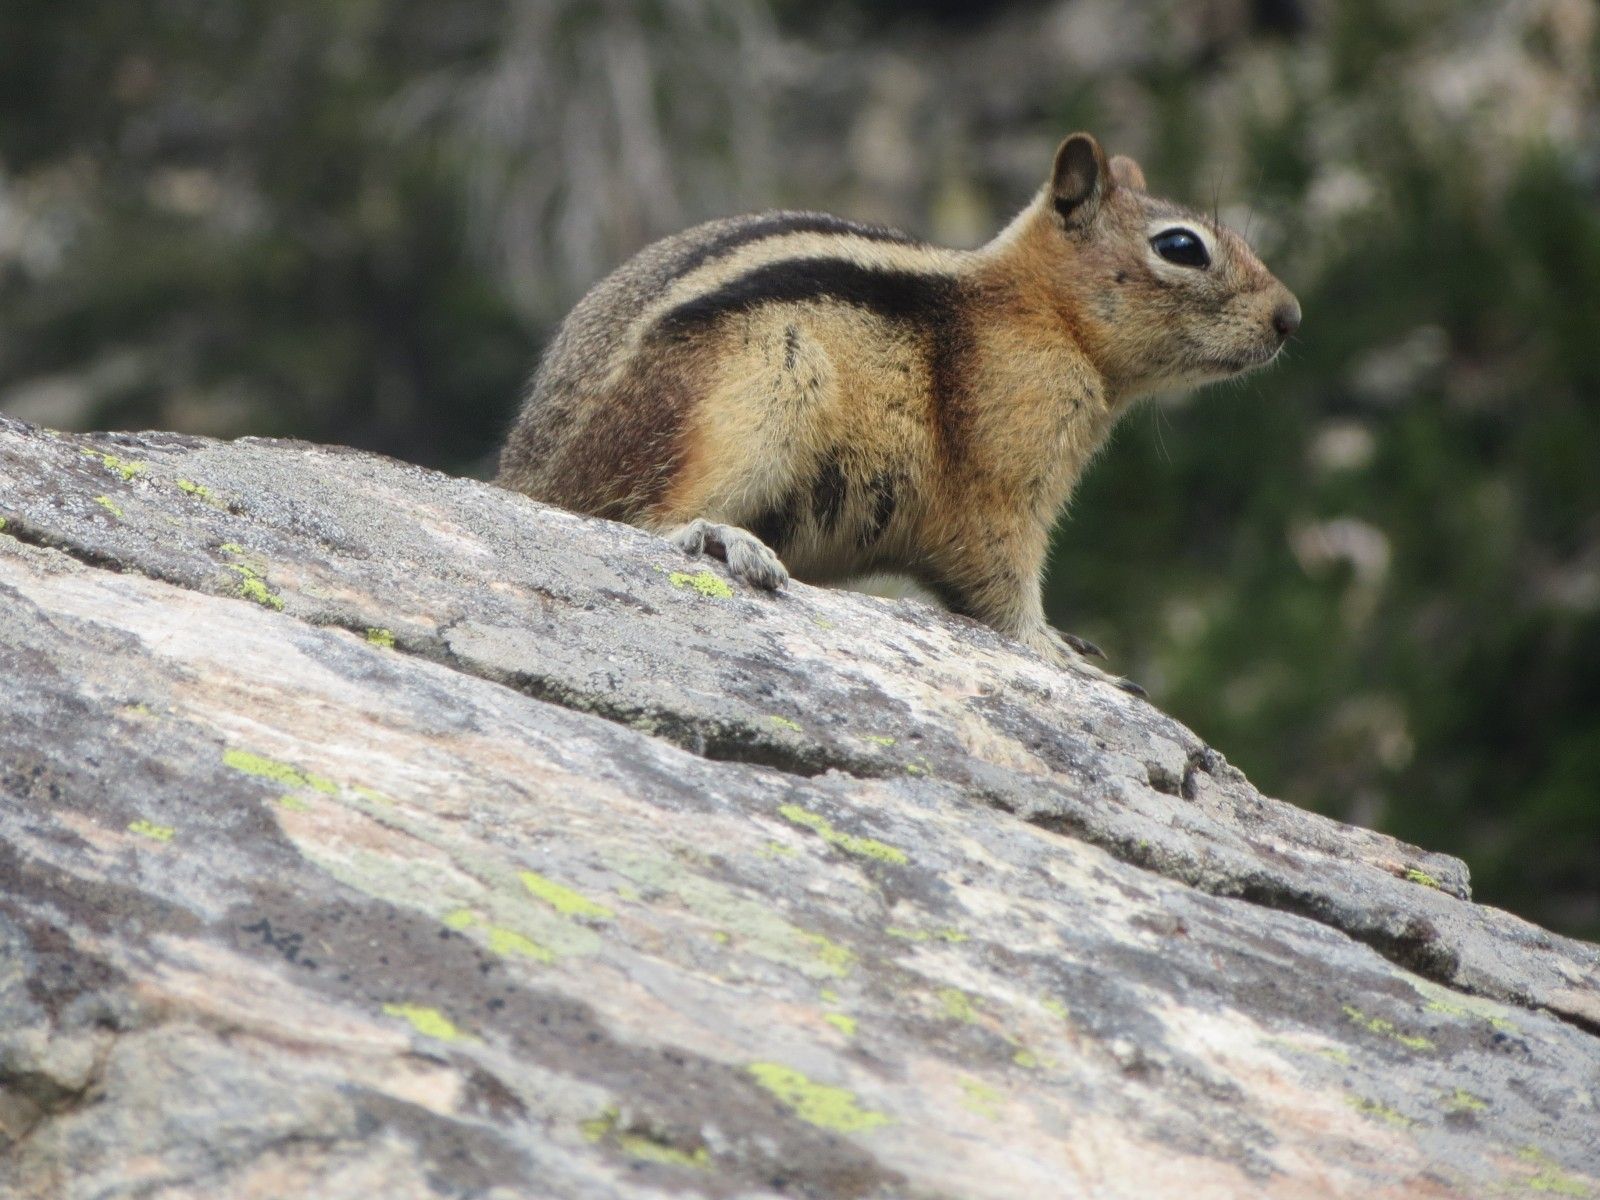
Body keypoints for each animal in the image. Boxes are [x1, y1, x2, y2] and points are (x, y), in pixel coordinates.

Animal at [497, 133, 1300, 691]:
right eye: (1181, 247)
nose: (1291, 317)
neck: (1039, 310)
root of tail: (528, 478)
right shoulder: (1001, 478)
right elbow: (1002, 581)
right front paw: (1057, 651)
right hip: (752, 393)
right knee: (644, 517)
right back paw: (724, 539)